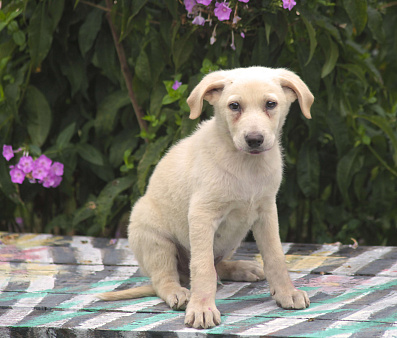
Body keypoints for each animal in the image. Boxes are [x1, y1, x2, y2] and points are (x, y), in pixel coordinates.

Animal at [98, 67, 312, 328]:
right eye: (234, 106)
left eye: (270, 104)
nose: (254, 139)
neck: (247, 166)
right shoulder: (202, 214)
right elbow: (202, 267)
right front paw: (201, 308)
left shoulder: (266, 212)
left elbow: (275, 257)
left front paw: (286, 292)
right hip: (153, 237)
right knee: (165, 278)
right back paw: (178, 292)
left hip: (233, 237)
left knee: (218, 265)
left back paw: (241, 268)